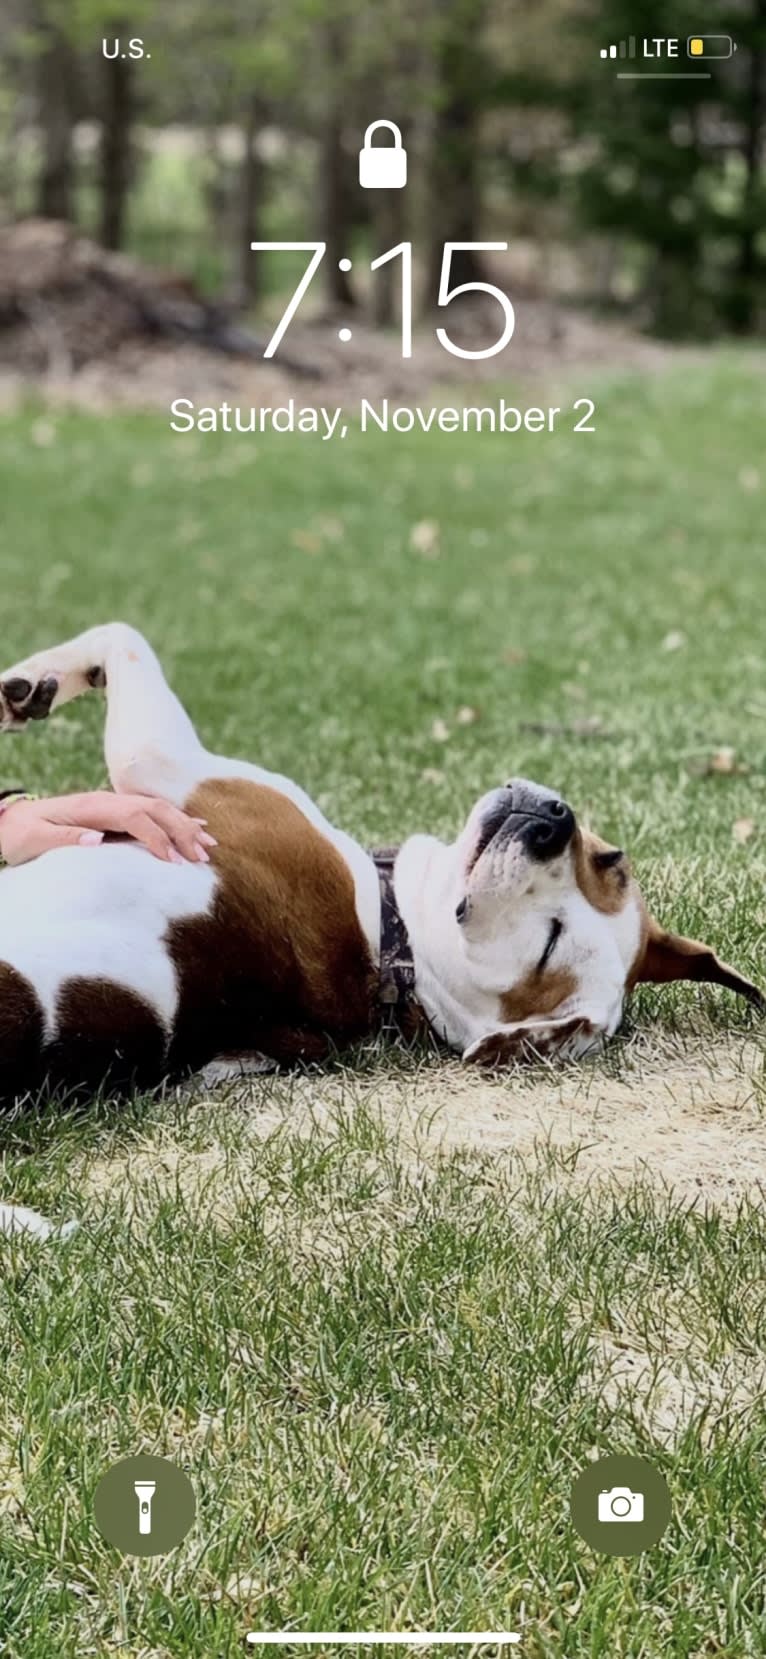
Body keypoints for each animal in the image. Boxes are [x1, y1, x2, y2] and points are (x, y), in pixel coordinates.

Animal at [0, 623, 759, 1101]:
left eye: (550, 943)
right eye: (610, 859)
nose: (553, 823)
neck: (393, 949)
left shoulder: (167, 767)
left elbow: (124, 636)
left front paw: (29, 681)